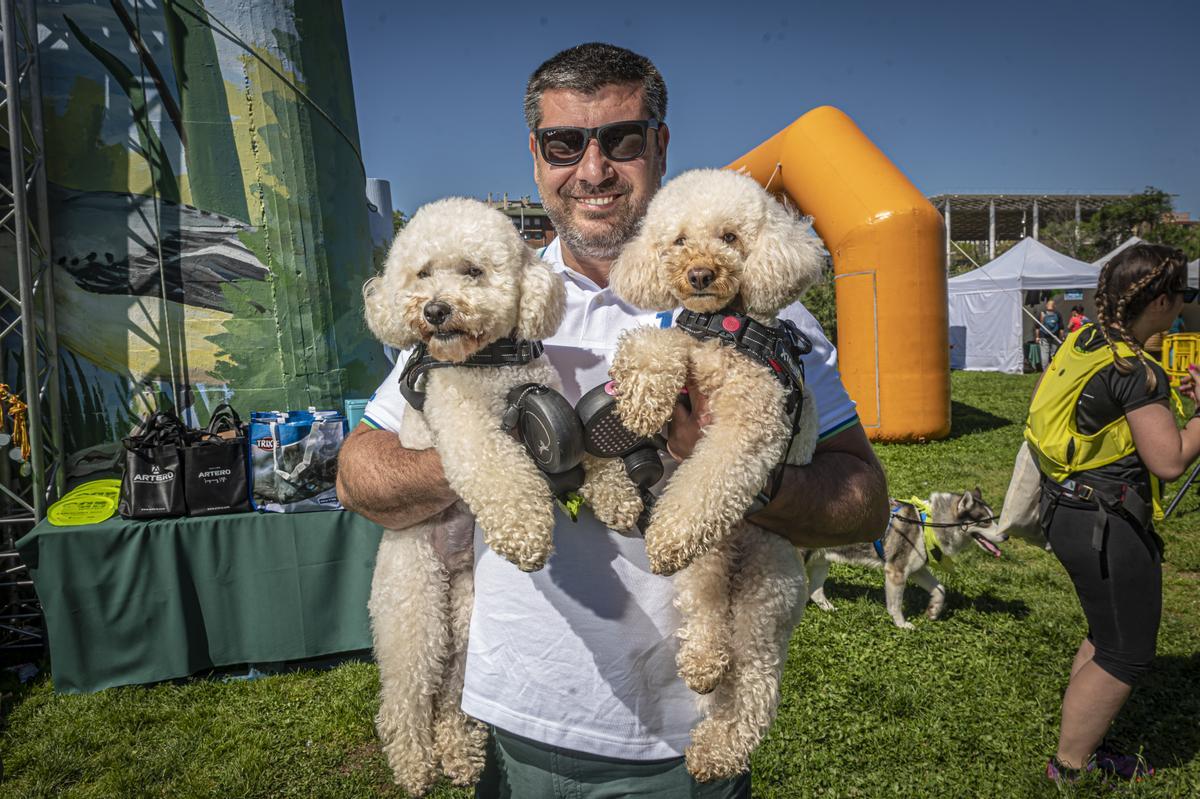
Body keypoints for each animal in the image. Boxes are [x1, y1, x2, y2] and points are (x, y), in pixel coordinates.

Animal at [360, 197, 643, 791]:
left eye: (472, 270)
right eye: (422, 273)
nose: (434, 310)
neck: (490, 363)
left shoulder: (549, 396)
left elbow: (588, 450)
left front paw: (617, 495)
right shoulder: (466, 429)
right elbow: (502, 473)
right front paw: (528, 532)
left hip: (465, 618)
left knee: (451, 688)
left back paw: (460, 754)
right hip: (412, 607)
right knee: (405, 696)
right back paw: (415, 765)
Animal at [609, 169, 825, 777]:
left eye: (730, 237)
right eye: (678, 240)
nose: (700, 275)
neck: (724, 326)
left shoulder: (752, 422)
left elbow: (710, 477)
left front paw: (669, 530)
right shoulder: (685, 342)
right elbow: (653, 342)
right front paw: (643, 398)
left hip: (767, 594)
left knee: (752, 684)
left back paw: (719, 749)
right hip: (706, 569)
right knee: (705, 620)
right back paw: (703, 665)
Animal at [806, 484, 1003, 628]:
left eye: (993, 519)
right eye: (985, 522)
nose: (1005, 535)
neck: (928, 523)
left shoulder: (917, 570)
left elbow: (940, 589)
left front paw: (933, 611)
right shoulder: (896, 571)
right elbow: (895, 605)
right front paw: (901, 625)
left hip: (821, 563)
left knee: (815, 592)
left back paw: (829, 608)